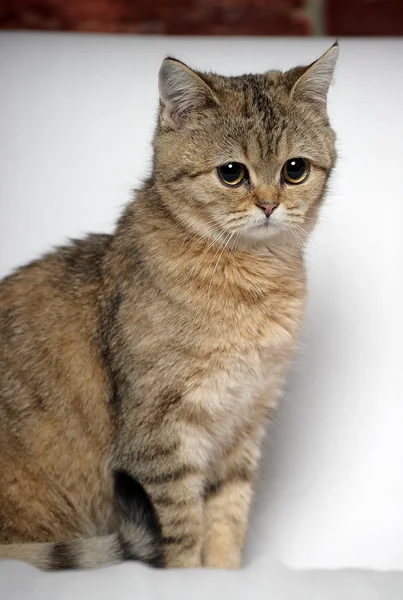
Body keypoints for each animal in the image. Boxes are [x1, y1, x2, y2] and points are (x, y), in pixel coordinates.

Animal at [0, 43, 340, 572]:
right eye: (231, 173)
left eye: (295, 169)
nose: (268, 205)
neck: (251, 283)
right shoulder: (160, 435)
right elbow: (180, 529)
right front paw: (184, 579)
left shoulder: (244, 421)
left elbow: (227, 517)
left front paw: (222, 574)